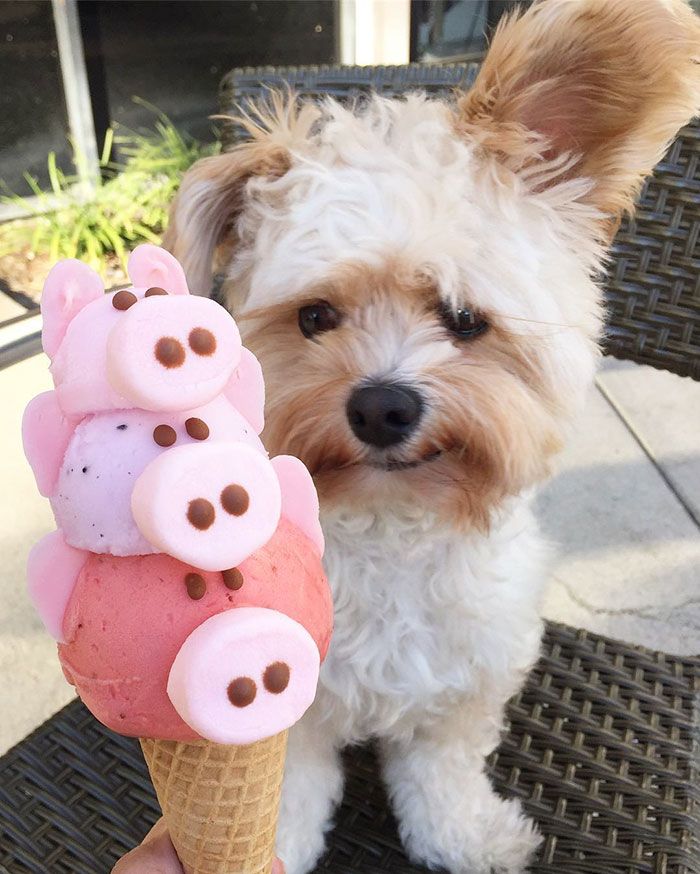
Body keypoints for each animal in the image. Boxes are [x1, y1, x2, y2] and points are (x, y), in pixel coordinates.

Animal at [163, 3, 700, 868]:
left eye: (464, 318)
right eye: (315, 316)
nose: (382, 408)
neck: (391, 529)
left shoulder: (465, 685)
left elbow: (440, 772)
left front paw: (464, 836)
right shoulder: (283, 702)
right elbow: (285, 791)